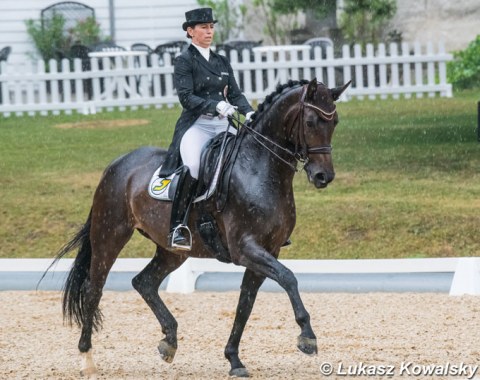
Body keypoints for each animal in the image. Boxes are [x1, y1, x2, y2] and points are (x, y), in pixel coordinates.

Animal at [47, 78, 348, 378]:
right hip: (109, 235)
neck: (258, 169)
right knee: (93, 289)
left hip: (172, 251)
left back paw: (169, 341)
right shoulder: (246, 249)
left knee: (143, 282)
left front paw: (234, 359)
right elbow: (289, 278)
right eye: (310, 122)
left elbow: (245, 304)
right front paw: (307, 337)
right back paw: (86, 358)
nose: (323, 176)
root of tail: (118, 162)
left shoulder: (268, 251)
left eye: (334, 122)